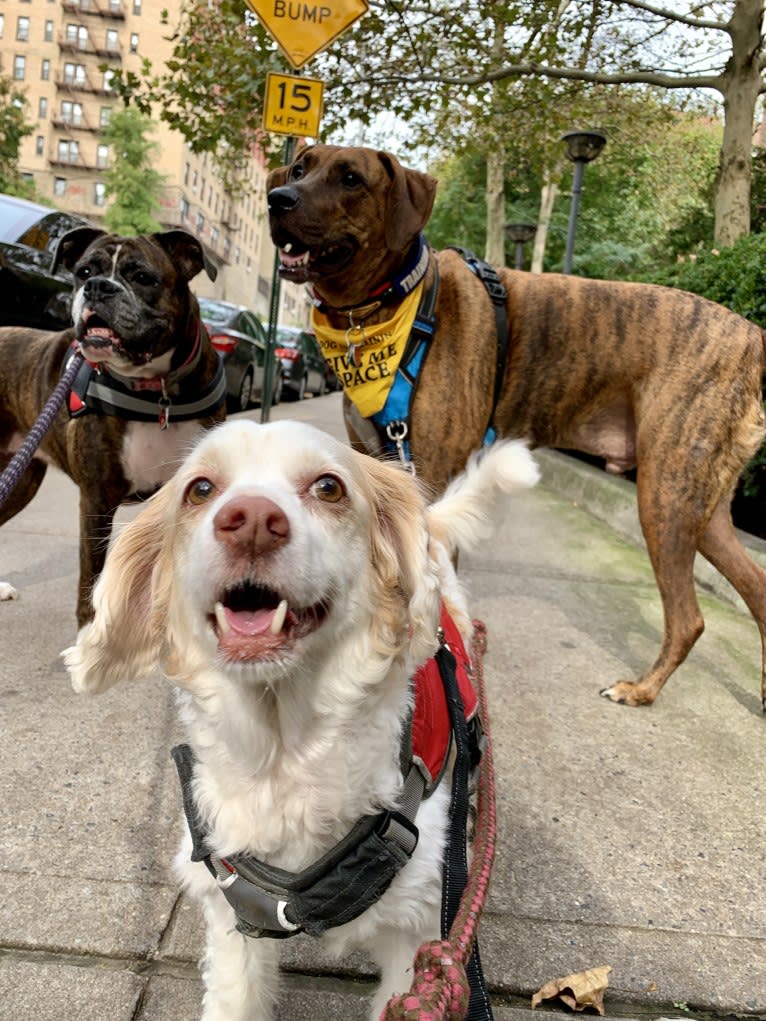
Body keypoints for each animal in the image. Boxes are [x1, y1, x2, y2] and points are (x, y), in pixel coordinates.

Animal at [0, 228, 226, 624]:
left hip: (20, 478)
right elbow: (90, 582)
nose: (98, 287)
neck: (157, 390)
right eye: (84, 272)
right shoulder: (97, 500)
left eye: (142, 277)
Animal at [64, 418, 539, 1016]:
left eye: (329, 487)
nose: (250, 523)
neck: (285, 753)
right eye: (200, 489)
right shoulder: (236, 916)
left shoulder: (421, 936)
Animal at [267, 141, 766, 710]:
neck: (394, 308)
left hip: (667, 495)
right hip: (704, 507)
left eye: (351, 178)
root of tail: (752, 337)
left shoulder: (431, 478)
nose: (278, 198)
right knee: (756, 590)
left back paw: (641, 689)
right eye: (300, 168)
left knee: (688, 618)